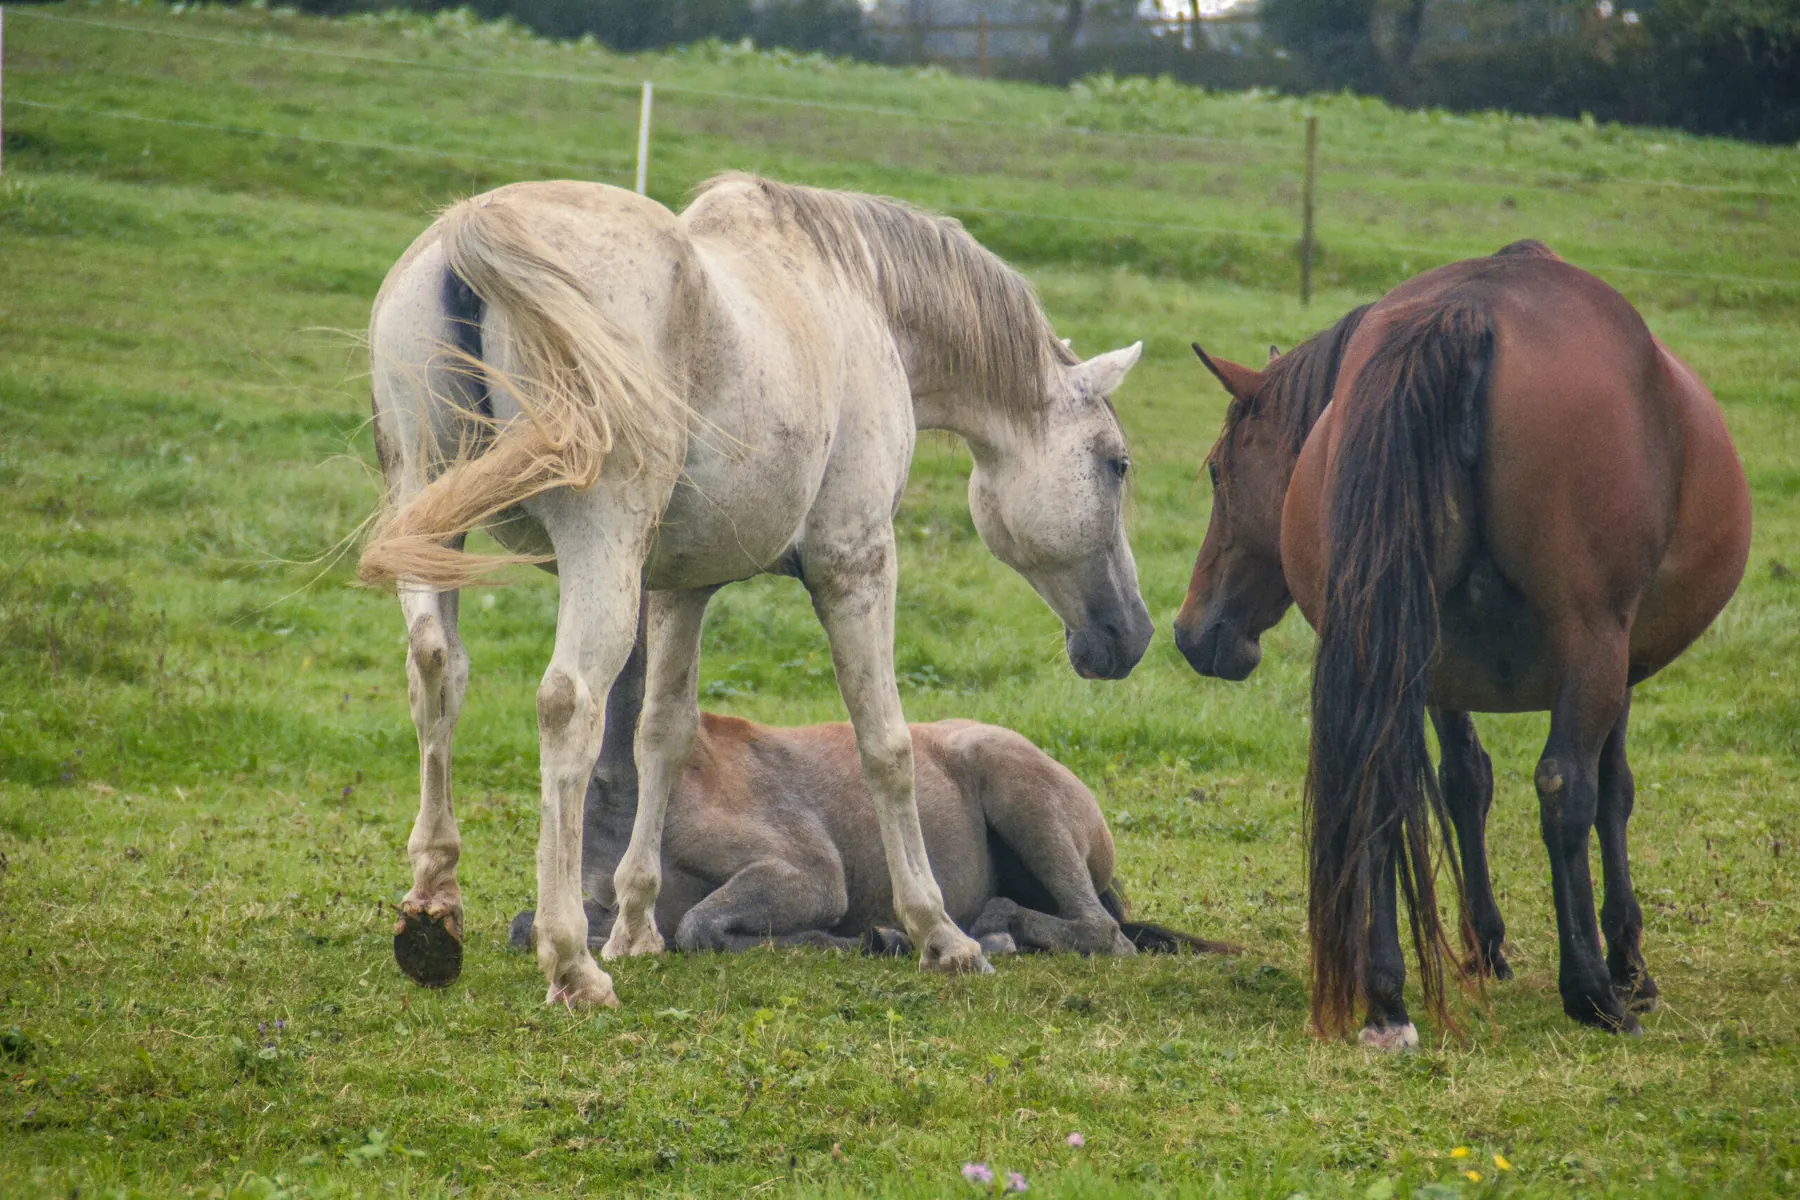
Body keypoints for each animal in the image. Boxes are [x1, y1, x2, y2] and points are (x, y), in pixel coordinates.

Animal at [357, 174, 1154, 1009]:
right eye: (1116, 464)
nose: (1130, 633)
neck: (858, 296)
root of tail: (477, 231)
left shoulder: (682, 586)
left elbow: (661, 735)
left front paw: (637, 928)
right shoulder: (856, 563)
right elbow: (887, 745)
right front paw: (939, 934)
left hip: (431, 518)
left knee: (438, 671)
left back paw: (432, 915)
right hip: (597, 547)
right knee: (568, 703)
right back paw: (571, 962)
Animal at [506, 629, 1233, 959]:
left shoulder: (809, 873)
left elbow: (700, 925)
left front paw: (861, 939)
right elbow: (529, 925)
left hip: (1018, 792)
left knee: (1104, 933)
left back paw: (985, 932)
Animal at [1173, 241, 1751, 1046]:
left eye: (1220, 474)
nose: (1193, 631)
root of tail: (1468, 312)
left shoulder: (1435, 668)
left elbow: (1462, 781)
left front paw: (1486, 945)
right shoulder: (1616, 660)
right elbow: (1611, 791)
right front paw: (1630, 964)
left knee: (1381, 783)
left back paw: (1386, 1000)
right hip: (1591, 645)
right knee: (1565, 789)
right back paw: (1593, 992)